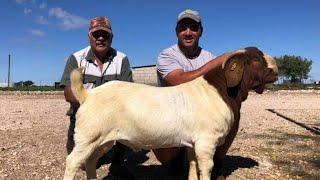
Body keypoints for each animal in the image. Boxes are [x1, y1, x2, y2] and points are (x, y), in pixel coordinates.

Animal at [63, 47, 278, 179]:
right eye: (256, 59)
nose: (276, 69)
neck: (221, 91)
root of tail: (88, 95)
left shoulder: (193, 144)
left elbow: (192, 167)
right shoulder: (206, 142)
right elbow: (205, 169)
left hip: (102, 140)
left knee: (91, 160)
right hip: (88, 136)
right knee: (72, 162)